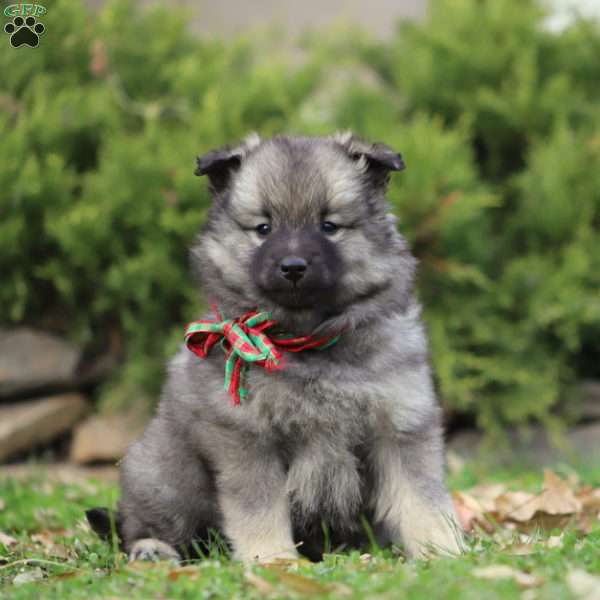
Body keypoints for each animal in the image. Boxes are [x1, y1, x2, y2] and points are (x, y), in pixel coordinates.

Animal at [86, 131, 462, 564]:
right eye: (263, 228)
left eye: (329, 225)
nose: (293, 266)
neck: (308, 343)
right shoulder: (248, 438)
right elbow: (259, 508)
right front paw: (273, 559)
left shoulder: (400, 425)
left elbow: (422, 496)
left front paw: (443, 549)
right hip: (166, 473)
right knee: (142, 524)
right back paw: (153, 549)